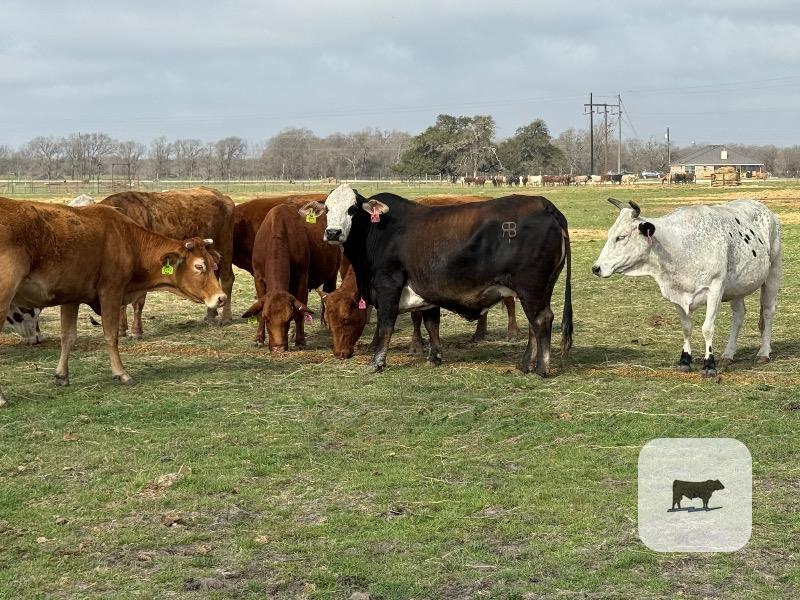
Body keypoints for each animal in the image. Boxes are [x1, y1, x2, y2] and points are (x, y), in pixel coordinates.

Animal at [0, 197, 226, 386]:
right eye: (199, 266)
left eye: (213, 263)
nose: (221, 298)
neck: (127, 239)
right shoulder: (111, 292)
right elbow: (111, 335)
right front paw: (121, 373)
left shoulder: (71, 297)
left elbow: (68, 336)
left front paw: (61, 375)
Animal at [96, 187, 234, 338]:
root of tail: (221, 195)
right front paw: (121, 329)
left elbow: (138, 302)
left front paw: (136, 331)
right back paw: (210, 314)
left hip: (226, 249)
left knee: (227, 279)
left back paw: (226, 317)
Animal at [241, 203, 341, 352]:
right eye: (266, 317)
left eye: (288, 318)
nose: (278, 348)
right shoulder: (258, 277)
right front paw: (258, 338)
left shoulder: (302, 276)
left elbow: (299, 312)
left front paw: (300, 340)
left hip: (332, 274)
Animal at [314, 184, 573, 374]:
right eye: (327, 208)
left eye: (352, 209)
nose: (333, 233)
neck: (377, 232)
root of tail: (545, 205)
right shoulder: (428, 291)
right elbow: (431, 324)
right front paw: (434, 357)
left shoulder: (388, 286)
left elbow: (385, 325)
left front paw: (376, 362)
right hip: (540, 288)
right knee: (534, 324)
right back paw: (525, 363)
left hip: (531, 288)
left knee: (541, 320)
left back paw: (540, 369)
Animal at [592, 198, 781, 377]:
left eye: (621, 237)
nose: (596, 268)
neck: (679, 246)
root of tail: (765, 209)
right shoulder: (676, 295)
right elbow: (686, 327)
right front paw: (685, 360)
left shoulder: (715, 289)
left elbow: (707, 329)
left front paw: (709, 365)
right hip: (737, 287)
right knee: (739, 315)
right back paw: (728, 354)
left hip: (773, 273)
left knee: (768, 312)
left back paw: (763, 353)